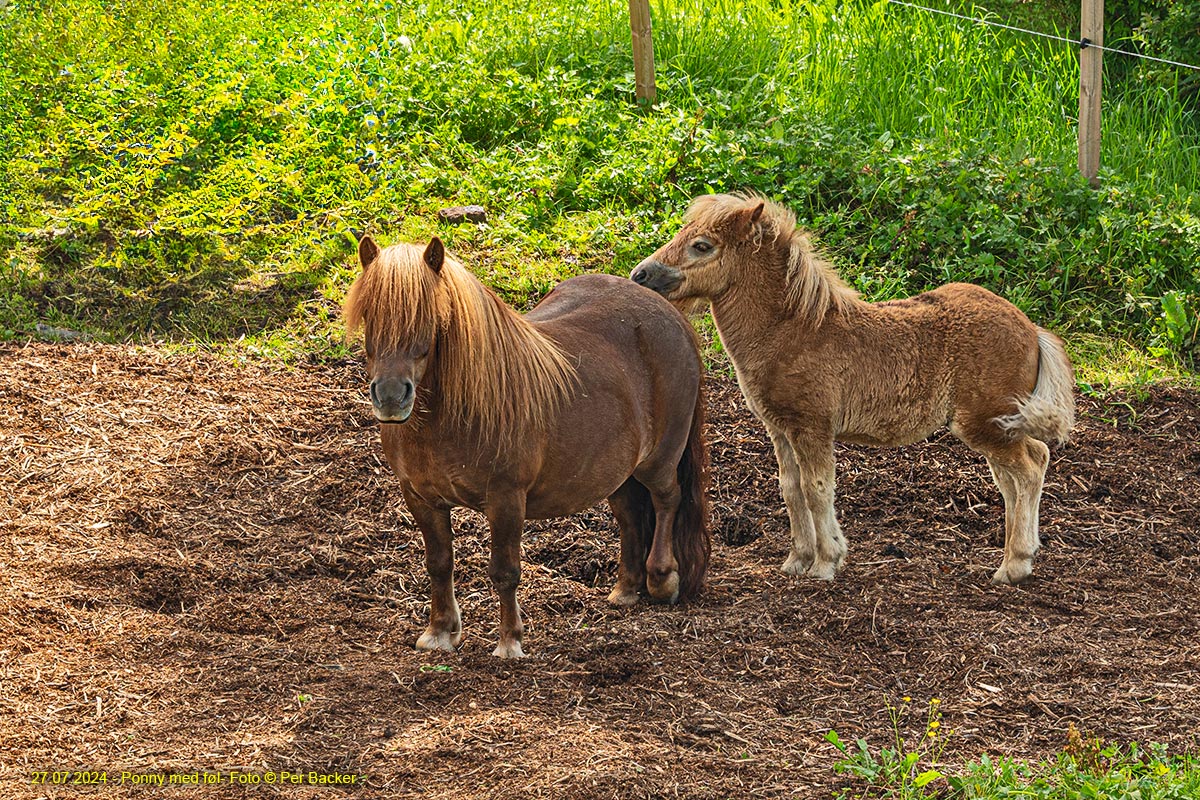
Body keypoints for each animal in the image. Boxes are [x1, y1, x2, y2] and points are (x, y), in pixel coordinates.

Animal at [343, 236, 705, 657]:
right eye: (369, 313)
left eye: (430, 317)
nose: (389, 397)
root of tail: (668, 314)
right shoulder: (420, 497)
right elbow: (439, 563)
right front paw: (440, 632)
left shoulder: (506, 498)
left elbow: (505, 571)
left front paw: (509, 641)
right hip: (618, 471)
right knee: (631, 515)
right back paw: (625, 591)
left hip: (659, 459)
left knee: (667, 500)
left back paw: (662, 580)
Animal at [633, 191, 1075, 585]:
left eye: (702, 245)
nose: (641, 275)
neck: (791, 330)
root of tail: (1030, 329)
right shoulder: (780, 428)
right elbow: (790, 489)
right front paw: (797, 560)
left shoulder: (812, 426)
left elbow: (816, 489)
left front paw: (826, 563)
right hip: (996, 426)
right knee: (1016, 475)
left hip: (986, 423)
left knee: (1031, 466)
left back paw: (1014, 565)